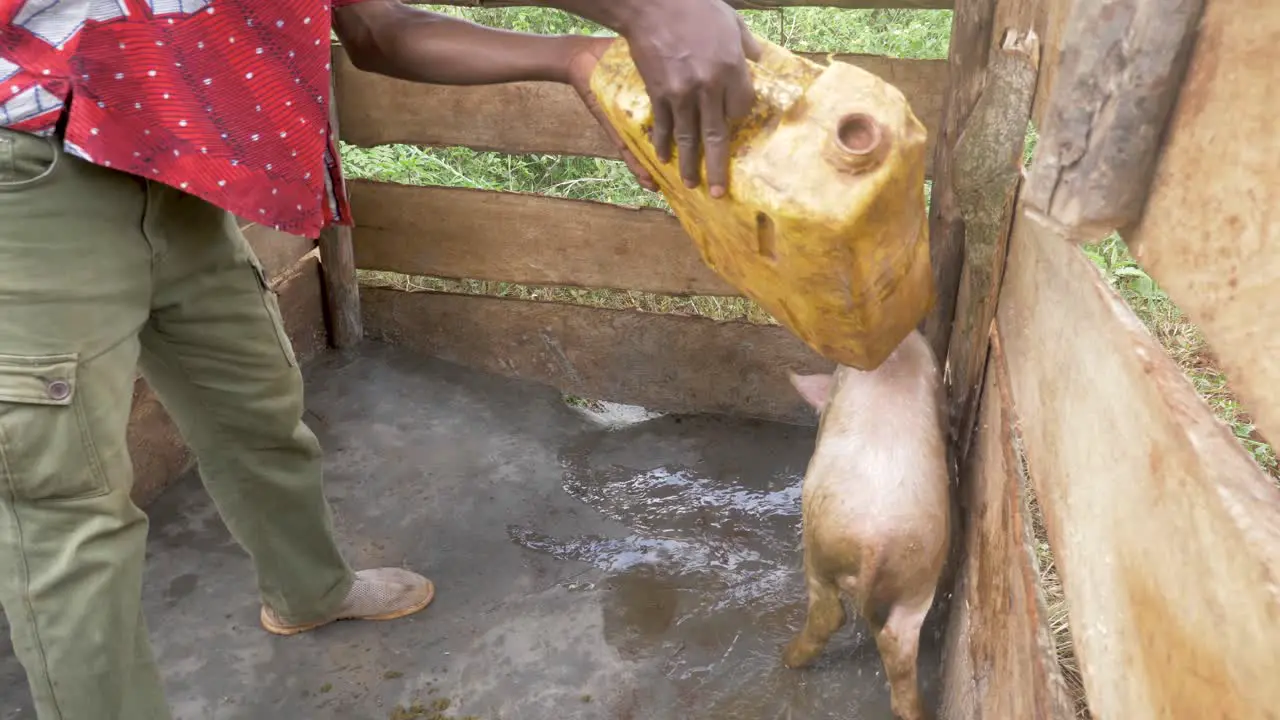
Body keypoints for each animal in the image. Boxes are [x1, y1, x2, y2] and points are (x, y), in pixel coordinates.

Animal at [778, 327, 952, 717]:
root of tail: (875, 540)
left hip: (819, 547)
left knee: (828, 613)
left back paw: (786, 658)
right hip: (920, 570)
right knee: (897, 642)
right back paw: (916, 711)